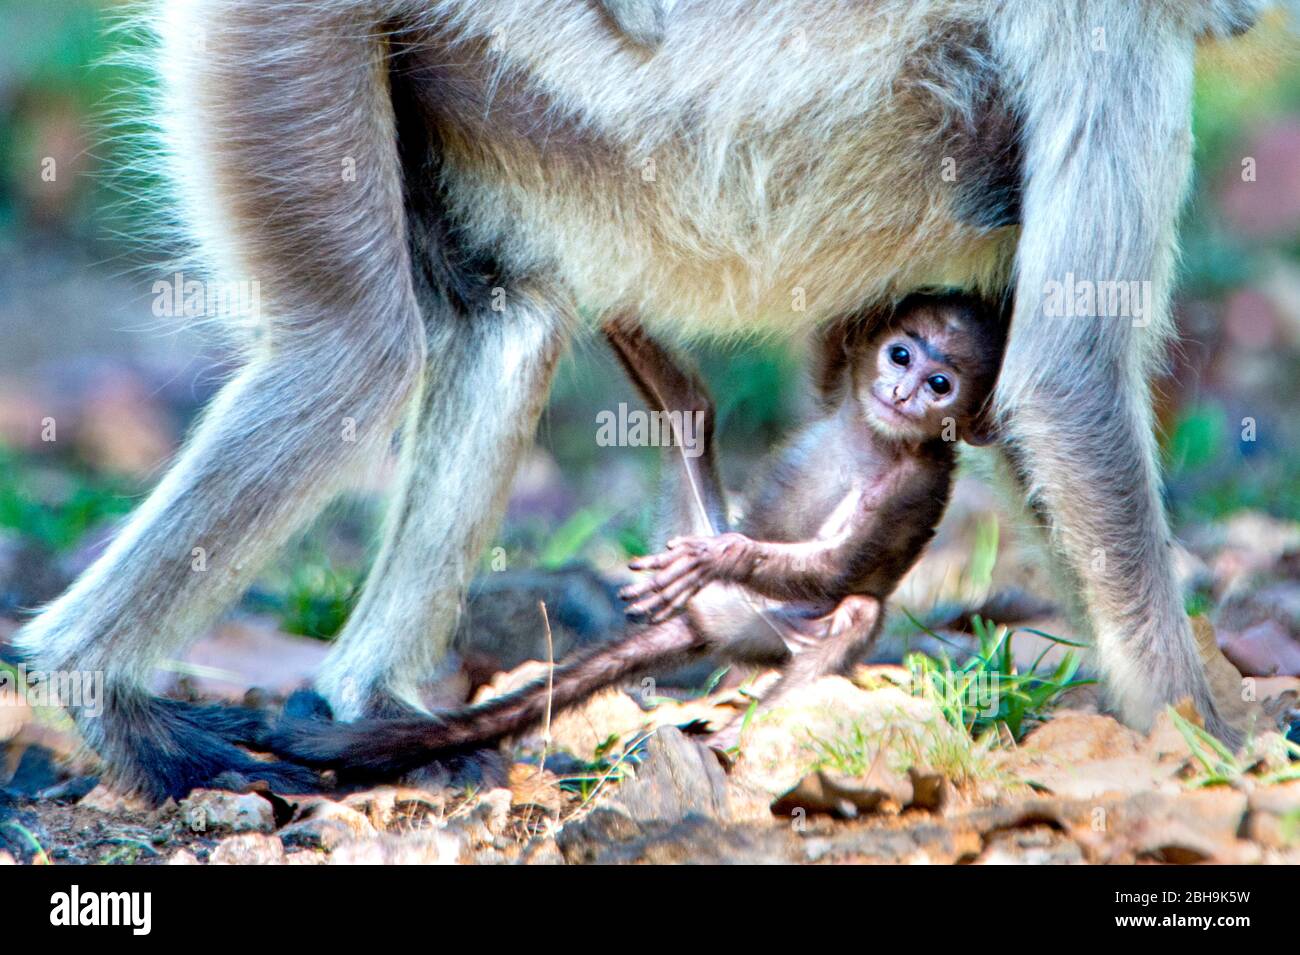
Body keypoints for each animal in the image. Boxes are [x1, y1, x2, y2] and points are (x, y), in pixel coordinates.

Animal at [266, 294, 1003, 779]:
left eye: (941, 383)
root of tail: (707, 622)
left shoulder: (913, 486)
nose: (903, 393)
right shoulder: (840, 381)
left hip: (771, 630)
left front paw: (726, 554)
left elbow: (843, 566)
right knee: (690, 411)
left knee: (855, 612)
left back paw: (737, 722)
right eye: (899, 354)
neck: (875, 434)